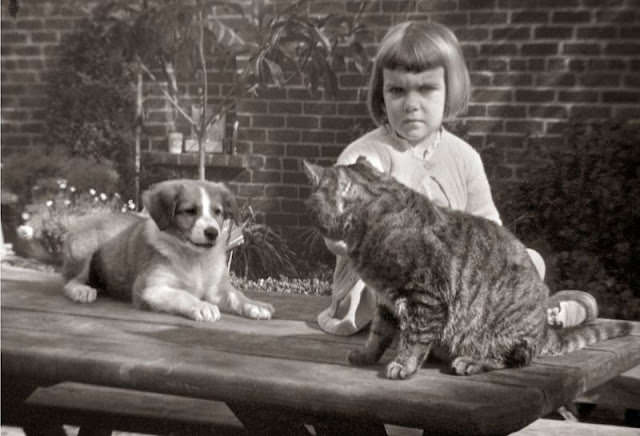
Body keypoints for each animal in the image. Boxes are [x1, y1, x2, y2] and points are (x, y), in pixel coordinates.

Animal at [62, 179, 276, 322]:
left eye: (218, 212)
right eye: (190, 211)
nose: (212, 233)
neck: (194, 258)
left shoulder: (217, 289)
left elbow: (235, 295)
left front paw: (255, 305)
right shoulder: (149, 288)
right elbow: (182, 295)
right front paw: (202, 305)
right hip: (84, 248)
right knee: (69, 281)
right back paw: (81, 290)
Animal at [304, 157, 632, 378]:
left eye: (312, 205)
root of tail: (542, 328)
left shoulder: (424, 297)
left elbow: (413, 337)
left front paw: (403, 364)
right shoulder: (385, 301)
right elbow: (379, 334)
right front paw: (367, 355)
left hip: (499, 329)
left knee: (513, 357)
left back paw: (471, 361)